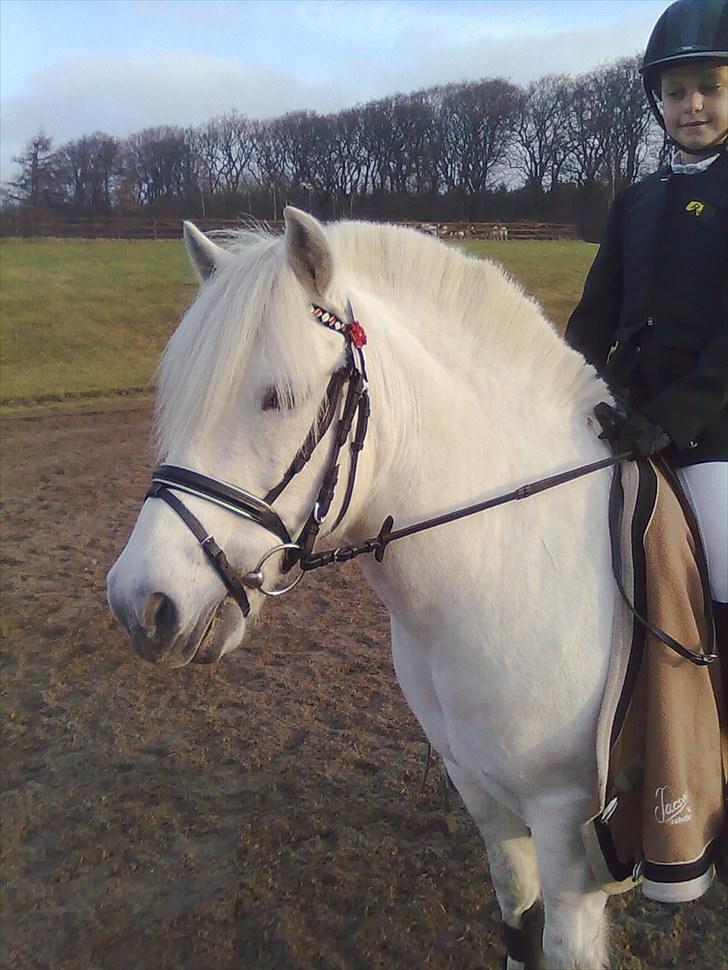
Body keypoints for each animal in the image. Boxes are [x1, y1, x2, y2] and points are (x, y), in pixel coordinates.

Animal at [108, 212, 616, 968]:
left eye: (280, 398)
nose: (140, 604)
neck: (520, 559)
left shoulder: (567, 824)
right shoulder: (484, 794)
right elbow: (520, 925)